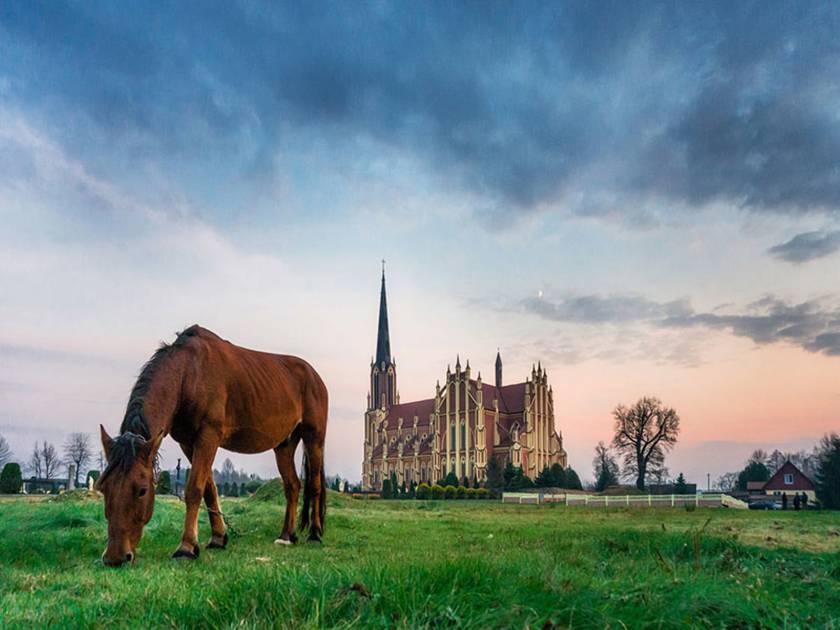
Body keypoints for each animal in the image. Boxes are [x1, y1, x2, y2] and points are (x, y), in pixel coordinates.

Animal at [97, 326, 328, 568]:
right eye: (103, 487)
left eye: (142, 490)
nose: (115, 557)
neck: (189, 373)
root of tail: (315, 376)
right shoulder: (188, 443)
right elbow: (209, 489)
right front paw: (218, 538)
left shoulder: (208, 436)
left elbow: (194, 489)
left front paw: (186, 547)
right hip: (284, 444)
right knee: (292, 486)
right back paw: (286, 535)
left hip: (314, 438)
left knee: (314, 485)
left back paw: (315, 534)